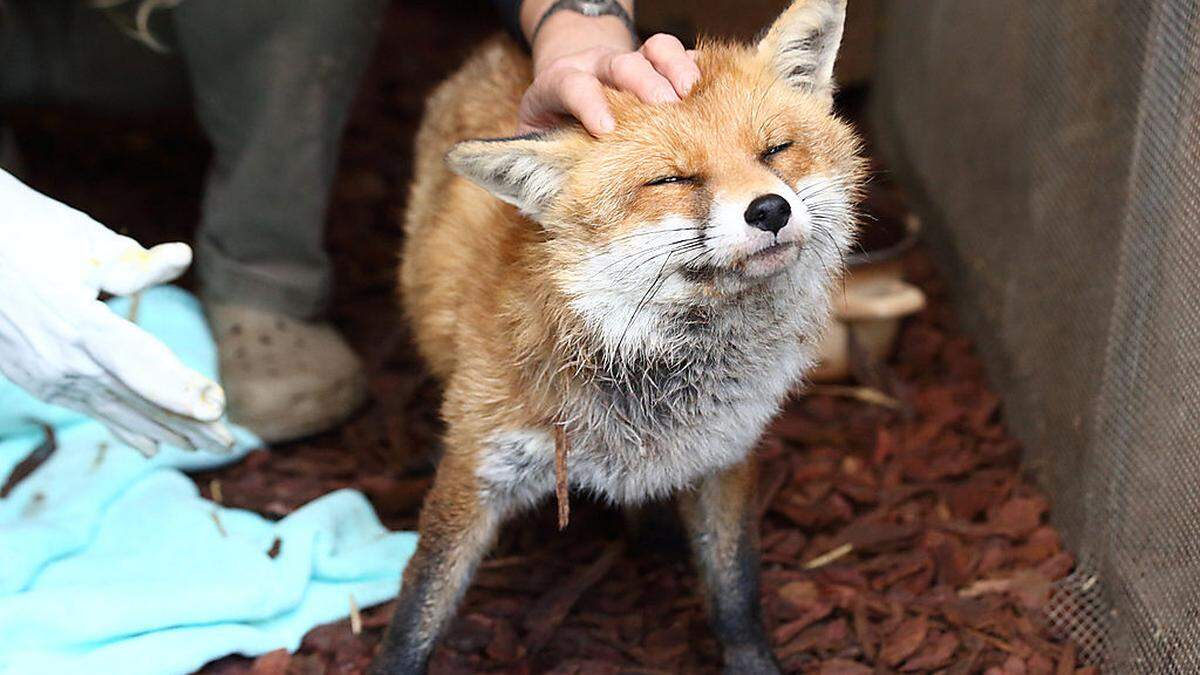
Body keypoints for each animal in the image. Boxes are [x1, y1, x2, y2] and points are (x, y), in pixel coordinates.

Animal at [372, 2, 864, 667]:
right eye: (672, 180)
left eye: (777, 149)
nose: (770, 210)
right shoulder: (480, 468)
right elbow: (417, 611)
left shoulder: (727, 457)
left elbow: (737, 593)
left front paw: (753, 661)